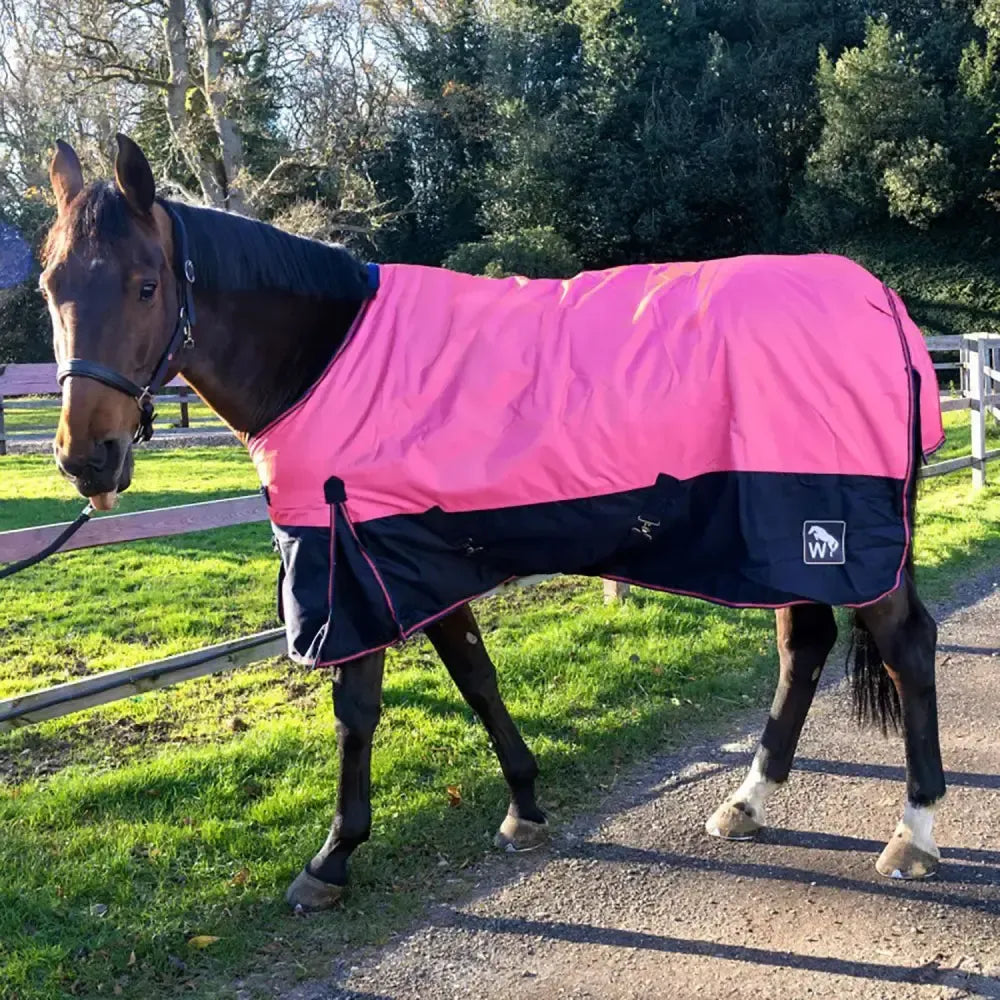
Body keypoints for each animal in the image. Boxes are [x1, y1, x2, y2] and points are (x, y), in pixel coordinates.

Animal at [41, 134, 945, 911]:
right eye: (53, 287)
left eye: (146, 284)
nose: (89, 457)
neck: (326, 356)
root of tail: (882, 303)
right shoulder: (413, 559)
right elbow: (476, 676)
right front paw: (524, 806)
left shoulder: (349, 566)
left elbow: (357, 711)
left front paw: (332, 858)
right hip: (784, 533)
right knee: (805, 646)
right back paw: (749, 801)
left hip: (831, 529)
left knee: (905, 646)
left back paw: (914, 832)